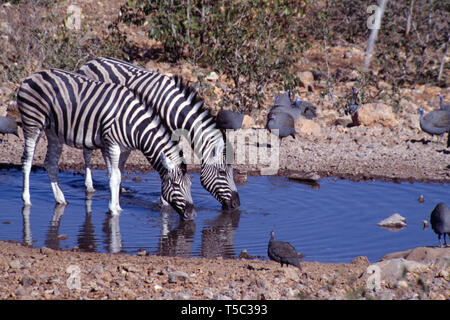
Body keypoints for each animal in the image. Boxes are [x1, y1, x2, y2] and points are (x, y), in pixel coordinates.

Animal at [16, 68, 195, 220]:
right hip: (32, 123)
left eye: (190, 185)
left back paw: (60, 199)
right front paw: (114, 209)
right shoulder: (113, 144)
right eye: (176, 185)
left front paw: (116, 205)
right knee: (27, 160)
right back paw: (26, 200)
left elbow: (115, 175)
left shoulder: (116, 147)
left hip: (53, 132)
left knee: (51, 163)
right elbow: (115, 176)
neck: (133, 125)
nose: (192, 214)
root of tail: (32, 75)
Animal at [80, 57, 243, 211]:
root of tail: (92, 61)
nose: (236, 204)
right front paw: (165, 201)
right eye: (222, 172)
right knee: (87, 152)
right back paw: (89, 186)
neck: (174, 109)